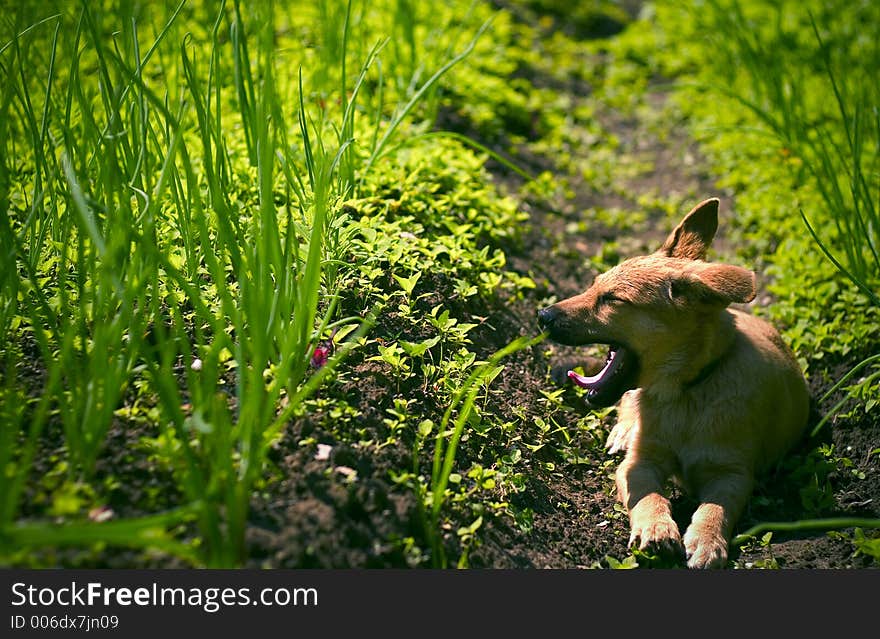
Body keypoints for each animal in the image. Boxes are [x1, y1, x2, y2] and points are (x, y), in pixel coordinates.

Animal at [536, 199, 812, 568]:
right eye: (593, 286)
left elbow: (715, 508)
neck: (684, 393)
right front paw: (656, 528)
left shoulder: (734, 474)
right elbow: (648, 496)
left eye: (613, 299)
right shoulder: (639, 464)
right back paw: (624, 431)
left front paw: (707, 540)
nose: (542, 316)